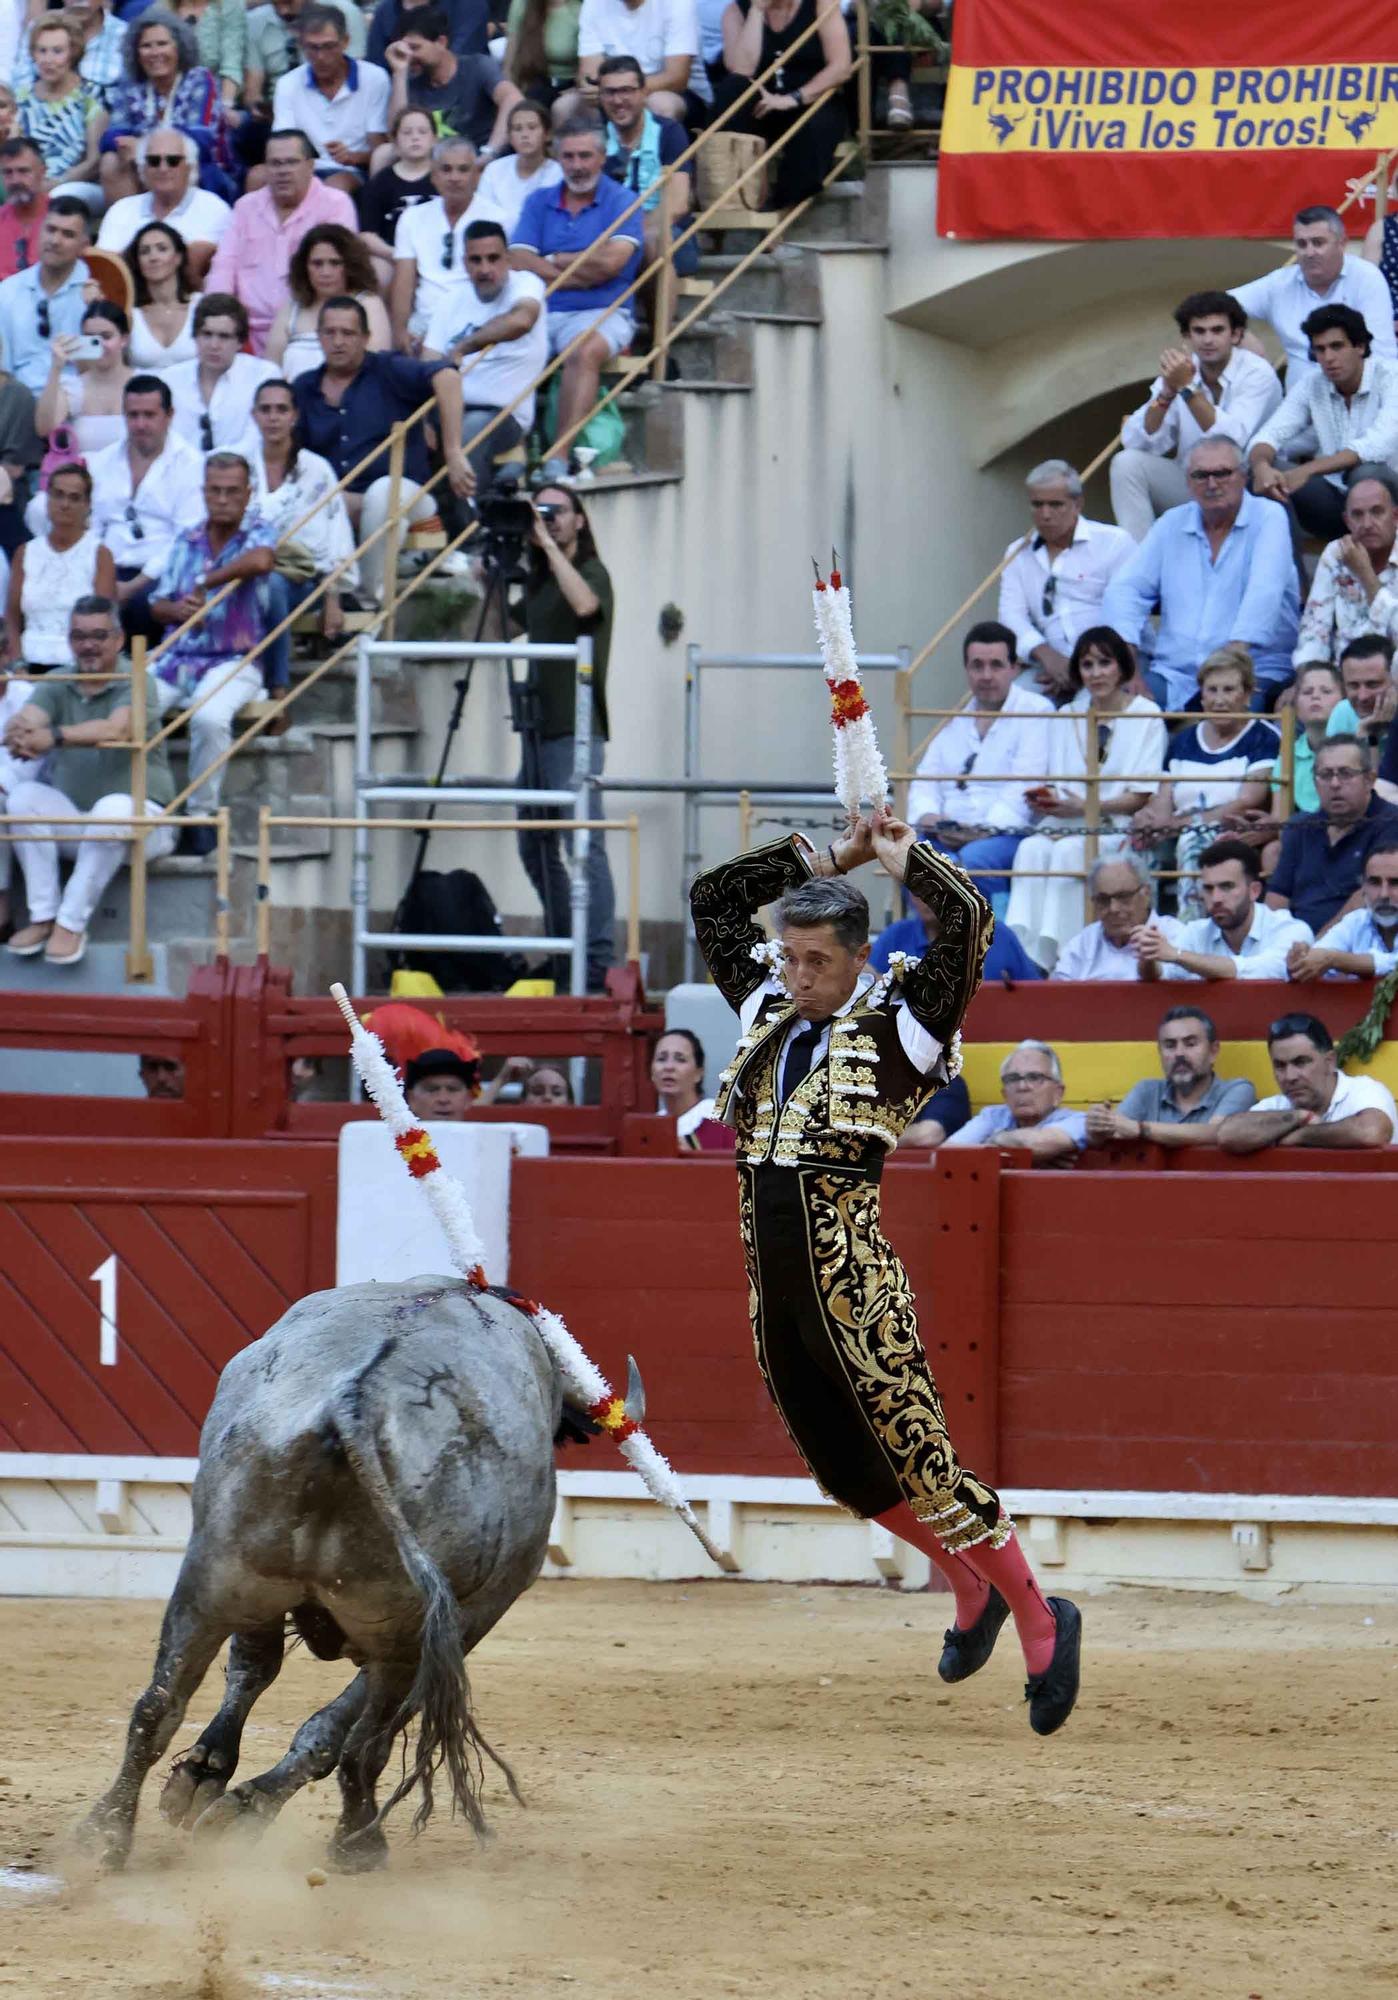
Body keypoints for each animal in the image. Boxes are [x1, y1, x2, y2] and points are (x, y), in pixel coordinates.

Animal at [82, 1280, 560, 1872]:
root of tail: (353, 1404)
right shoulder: (471, 1619)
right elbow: (326, 1721)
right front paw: (233, 1797)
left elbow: (254, 1673)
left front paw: (204, 1777)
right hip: (405, 1638)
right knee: (365, 1741)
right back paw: (354, 1839)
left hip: (217, 1577)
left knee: (159, 1704)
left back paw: (106, 1833)